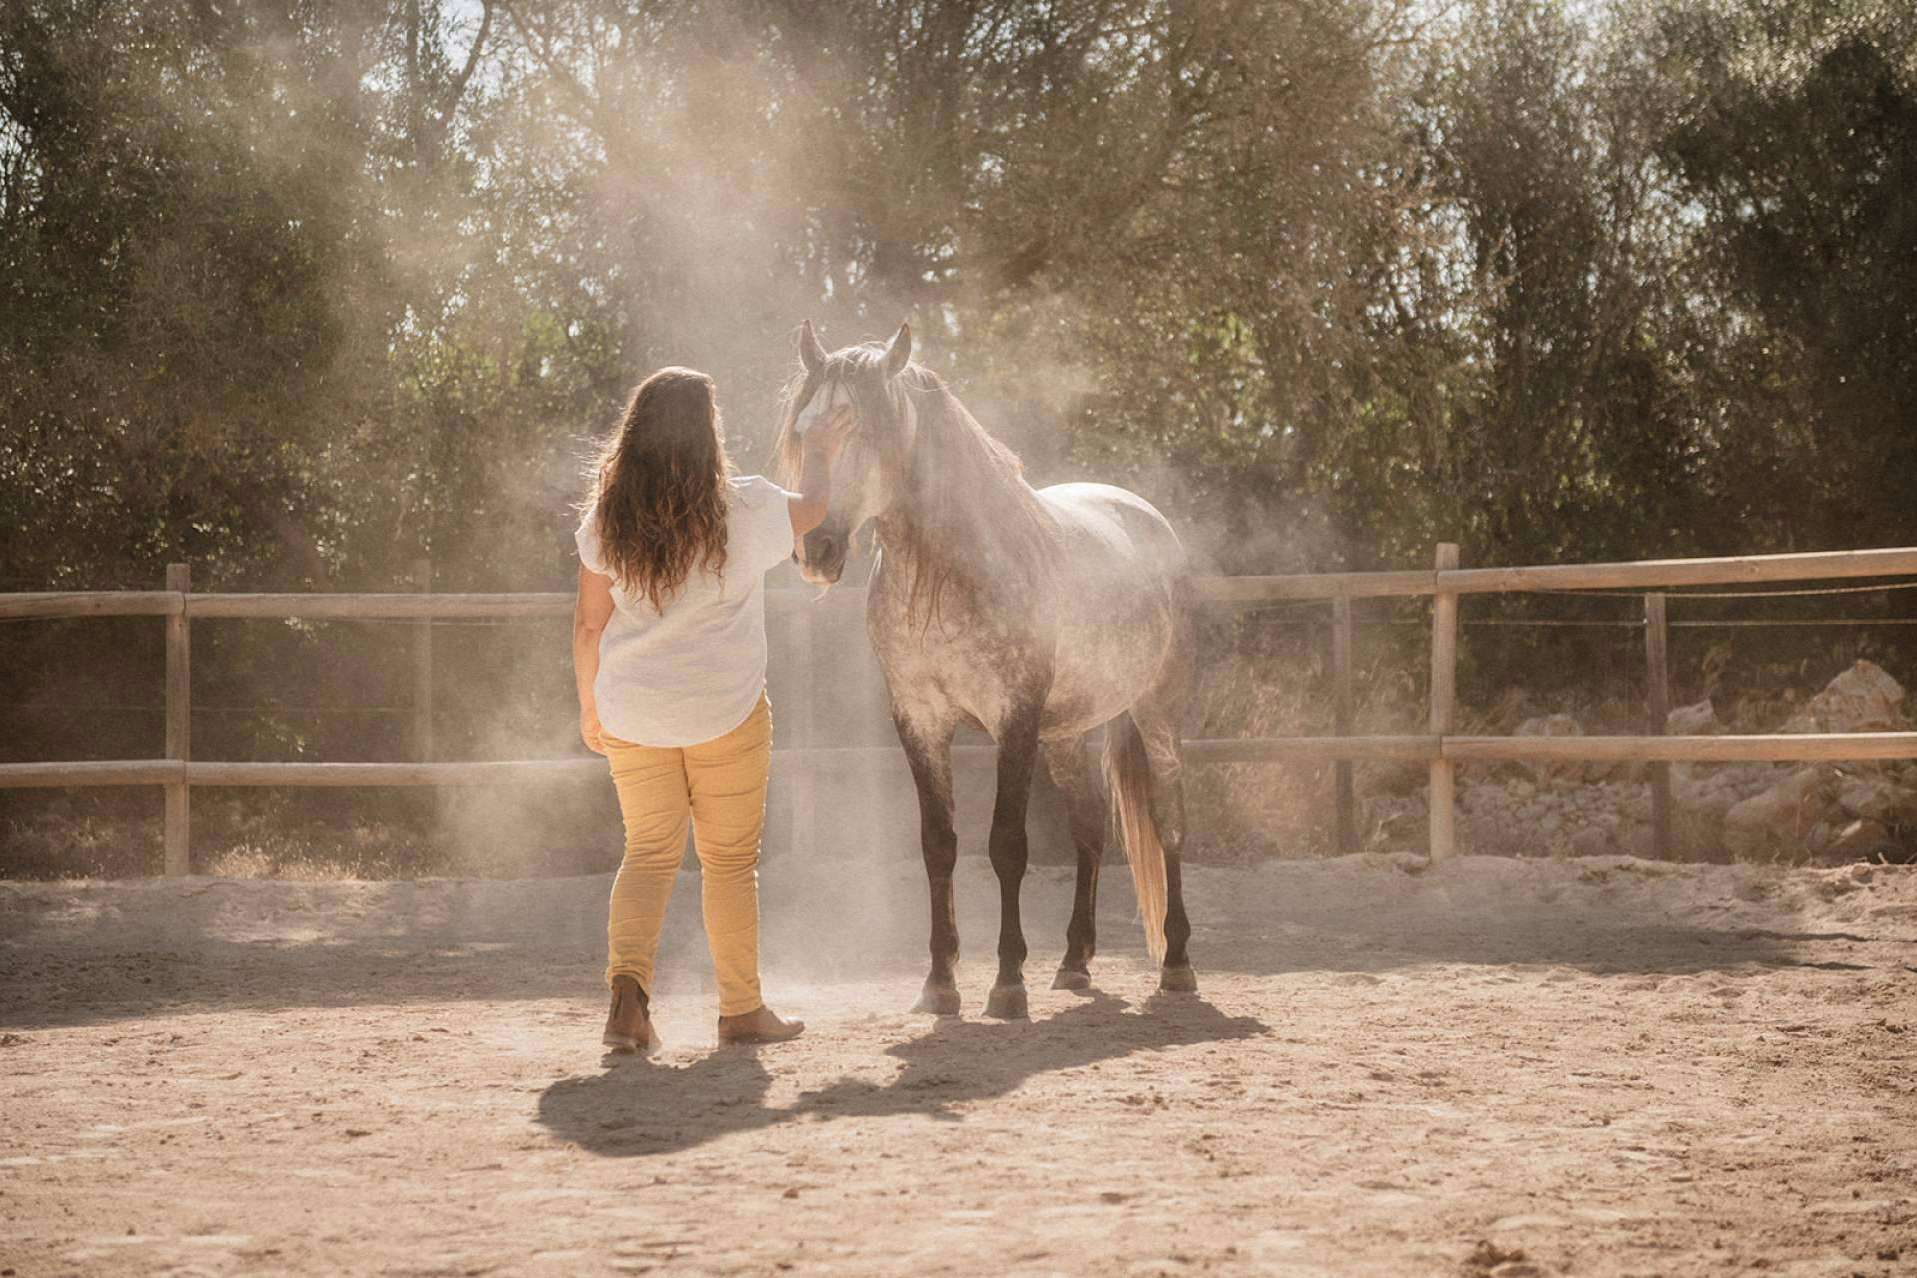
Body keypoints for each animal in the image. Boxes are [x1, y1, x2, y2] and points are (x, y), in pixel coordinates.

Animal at [775, 319, 1198, 1020]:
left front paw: (1006, 983)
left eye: (862, 428)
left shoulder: (1014, 721)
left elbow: (1006, 845)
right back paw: (1074, 963)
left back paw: (1177, 965)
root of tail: (1150, 520)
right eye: (803, 431)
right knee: (1089, 829)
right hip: (1068, 733)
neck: (945, 577)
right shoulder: (919, 721)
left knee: (1168, 824)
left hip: (1156, 711)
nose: (816, 549)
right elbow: (939, 845)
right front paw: (939, 984)